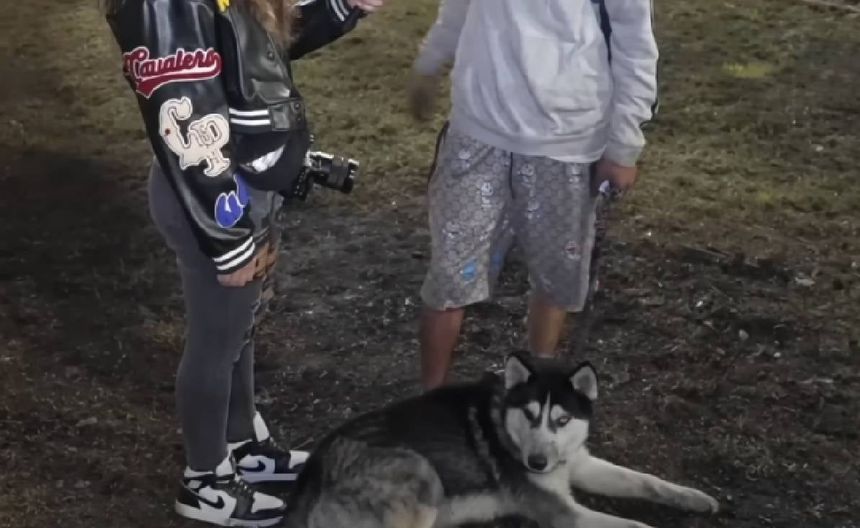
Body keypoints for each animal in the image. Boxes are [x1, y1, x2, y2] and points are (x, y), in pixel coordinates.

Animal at [281, 352, 720, 528]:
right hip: (421, 474)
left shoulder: (578, 463)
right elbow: (638, 525)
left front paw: (694, 498)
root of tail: (313, 470)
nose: (536, 464)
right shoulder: (565, 513)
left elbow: (645, 481)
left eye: (562, 420)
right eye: (529, 415)